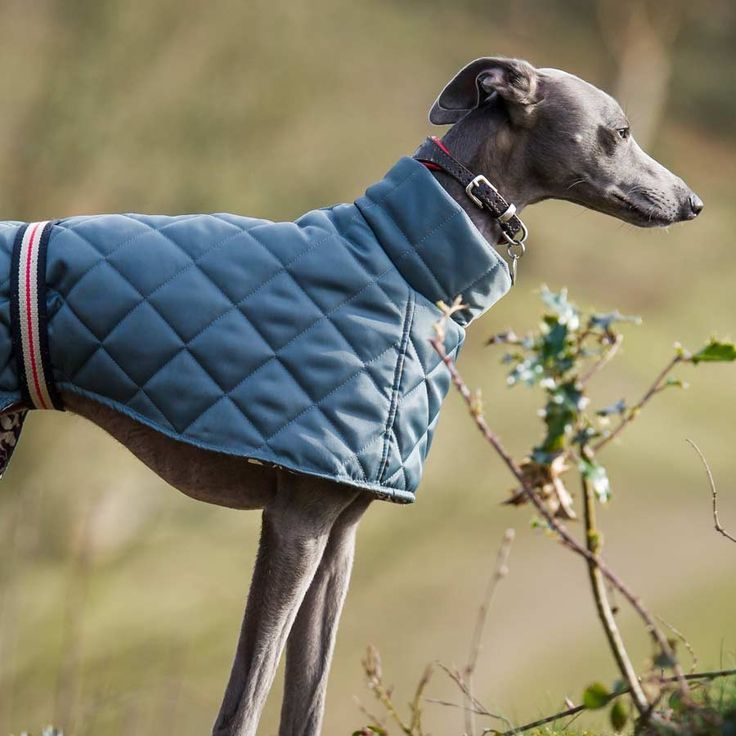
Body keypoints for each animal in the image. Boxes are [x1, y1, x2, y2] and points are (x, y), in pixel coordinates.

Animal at [0, 54, 700, 732]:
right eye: (621, 131)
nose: (692, 203)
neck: (405, 261)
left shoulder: (341, 533)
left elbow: (306, 700)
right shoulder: (298, 520)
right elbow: (245, 702)